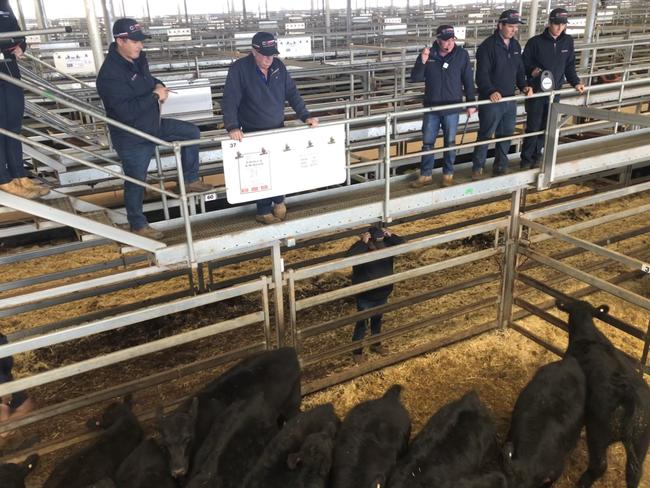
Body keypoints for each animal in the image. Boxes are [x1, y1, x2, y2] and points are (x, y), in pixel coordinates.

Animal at [556, 298, 648, 488]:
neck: (588, 336)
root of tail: (629, 395)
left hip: (598, 434)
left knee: (598, 466)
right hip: (641, 441)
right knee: (634, 473)